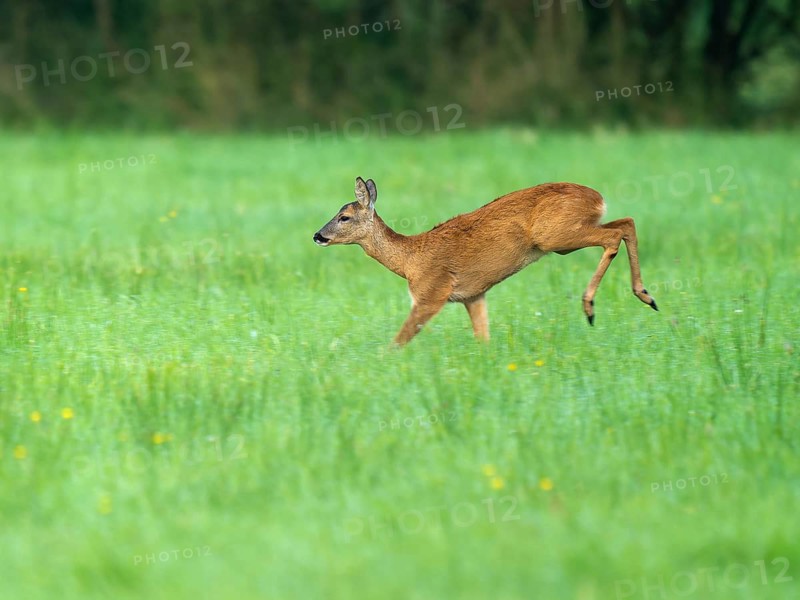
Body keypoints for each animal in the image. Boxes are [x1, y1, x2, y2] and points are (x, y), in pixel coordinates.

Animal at [313, 177, 658, 346]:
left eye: (344, 217)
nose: (318, 235)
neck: (411, 258)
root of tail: (598, 198)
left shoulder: (431, 293)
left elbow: (399, 340)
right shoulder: (474, 295)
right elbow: (484, 340)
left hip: (556, 237)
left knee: (615, 234)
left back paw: (591, 307)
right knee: (626, 222)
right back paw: (646, 296)